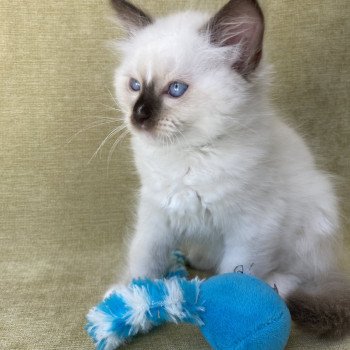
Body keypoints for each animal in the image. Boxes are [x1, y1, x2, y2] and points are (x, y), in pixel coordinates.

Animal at [108, 0, 348, 340]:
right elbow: (144, 259)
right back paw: (198, 257)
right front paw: (126, 302)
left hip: (315, 214)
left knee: (303, 278)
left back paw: (278, 287)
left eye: (176, 89)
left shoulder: (251, 228)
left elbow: (236, 272)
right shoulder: (156, 214)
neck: (187, 157)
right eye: (135, 86)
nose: (138, 115)